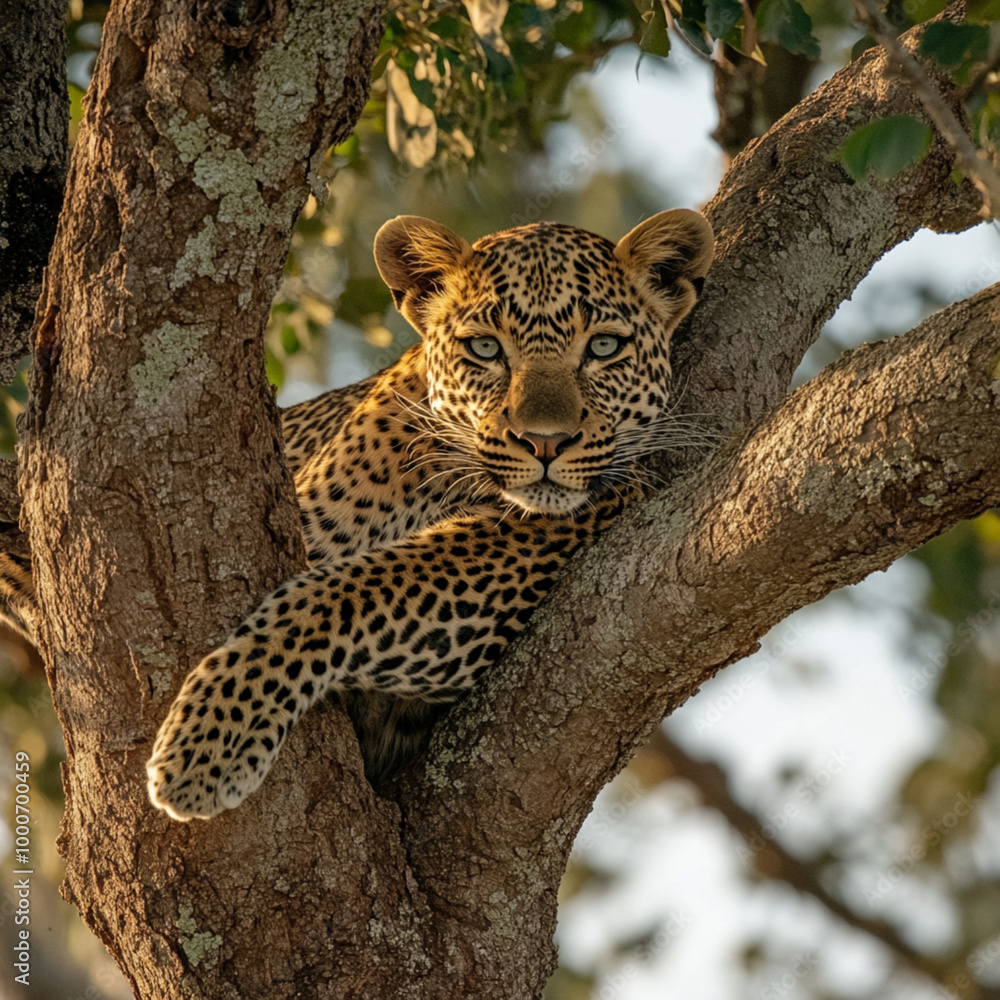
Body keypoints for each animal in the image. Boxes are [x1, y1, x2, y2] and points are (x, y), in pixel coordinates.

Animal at [5, 209, 714, 821]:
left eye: (605, 347)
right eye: (486, 349)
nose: (545, 442)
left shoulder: (511, 562)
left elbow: (342, 593)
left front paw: (208, 744)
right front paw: (210, 743)